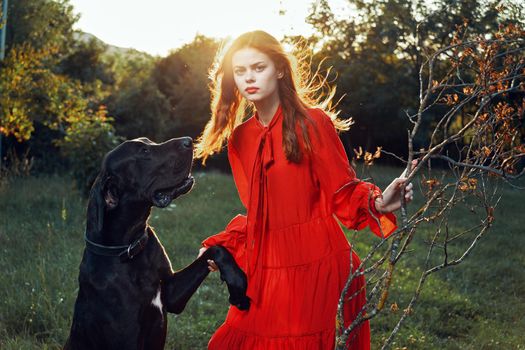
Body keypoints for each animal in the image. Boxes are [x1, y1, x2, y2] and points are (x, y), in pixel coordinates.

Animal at [64, 137, 249, 350]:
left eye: (148, 141)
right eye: (144, 151)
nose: (189, 141)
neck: (130, 248)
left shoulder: (171, 294)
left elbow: (216, 250)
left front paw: (237, 283)